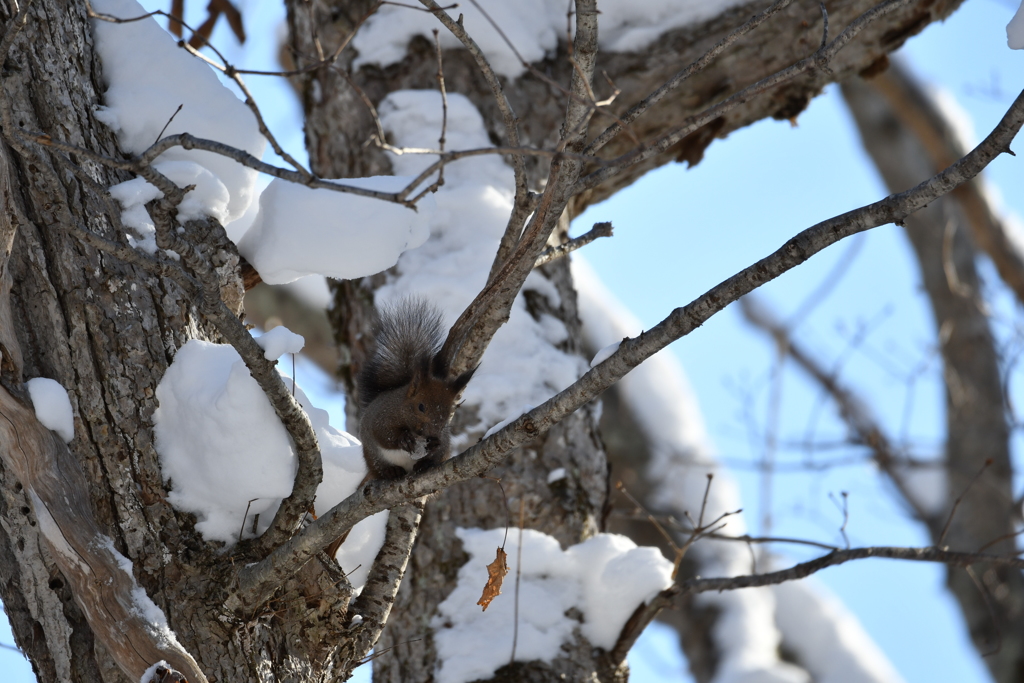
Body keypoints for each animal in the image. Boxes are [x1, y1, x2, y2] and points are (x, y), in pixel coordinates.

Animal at [358, 299, 473, 481]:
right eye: (421, 407)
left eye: (449, 412)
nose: (433, 432)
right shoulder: (381, 417)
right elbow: (384, 434)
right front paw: (403, 439)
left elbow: (439, 443)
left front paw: (433, 444)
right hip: (372, 456)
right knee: (379, 468)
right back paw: (391, 471)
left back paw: (424, 463)